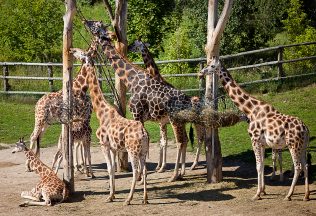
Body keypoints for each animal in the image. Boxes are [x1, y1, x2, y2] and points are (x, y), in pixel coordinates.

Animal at [69, 46, 149, 205]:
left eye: (80, 53)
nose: (71, 49)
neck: (101, 113)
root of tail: (144, 133)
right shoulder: (113, 147)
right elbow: (112, 168)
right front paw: (113, 194)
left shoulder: (104, 145)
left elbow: (109, 169)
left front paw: (110, 196)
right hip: (143, 150)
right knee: (144, 170)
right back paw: (145, 199)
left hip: (132, 150)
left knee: (136, 170)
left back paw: (129, 199)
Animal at [128, 38, 205, 170]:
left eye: (134, 44)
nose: (128, 48)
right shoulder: (162, 122)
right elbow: (162, 142)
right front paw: (159, 166)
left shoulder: (161, 122)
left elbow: (164, 142)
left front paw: (162, 166)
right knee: (197, 138)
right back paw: (193, 164)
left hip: (194, 122)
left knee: (199, 138)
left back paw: (193, 165)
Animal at [199, 57, 310, 201]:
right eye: (207, 64)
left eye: (212, 66)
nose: (201, 72)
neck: (250, 110)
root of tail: (306, 129)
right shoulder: (262, 143)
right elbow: (261, 165)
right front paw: (263, 191)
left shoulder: (254, 139)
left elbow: (258, 166)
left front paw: (257, 194)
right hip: (303, 146)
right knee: (306, 165)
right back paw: (306, 195)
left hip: (293, 145)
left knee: (298, 167)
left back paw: (289, 195)